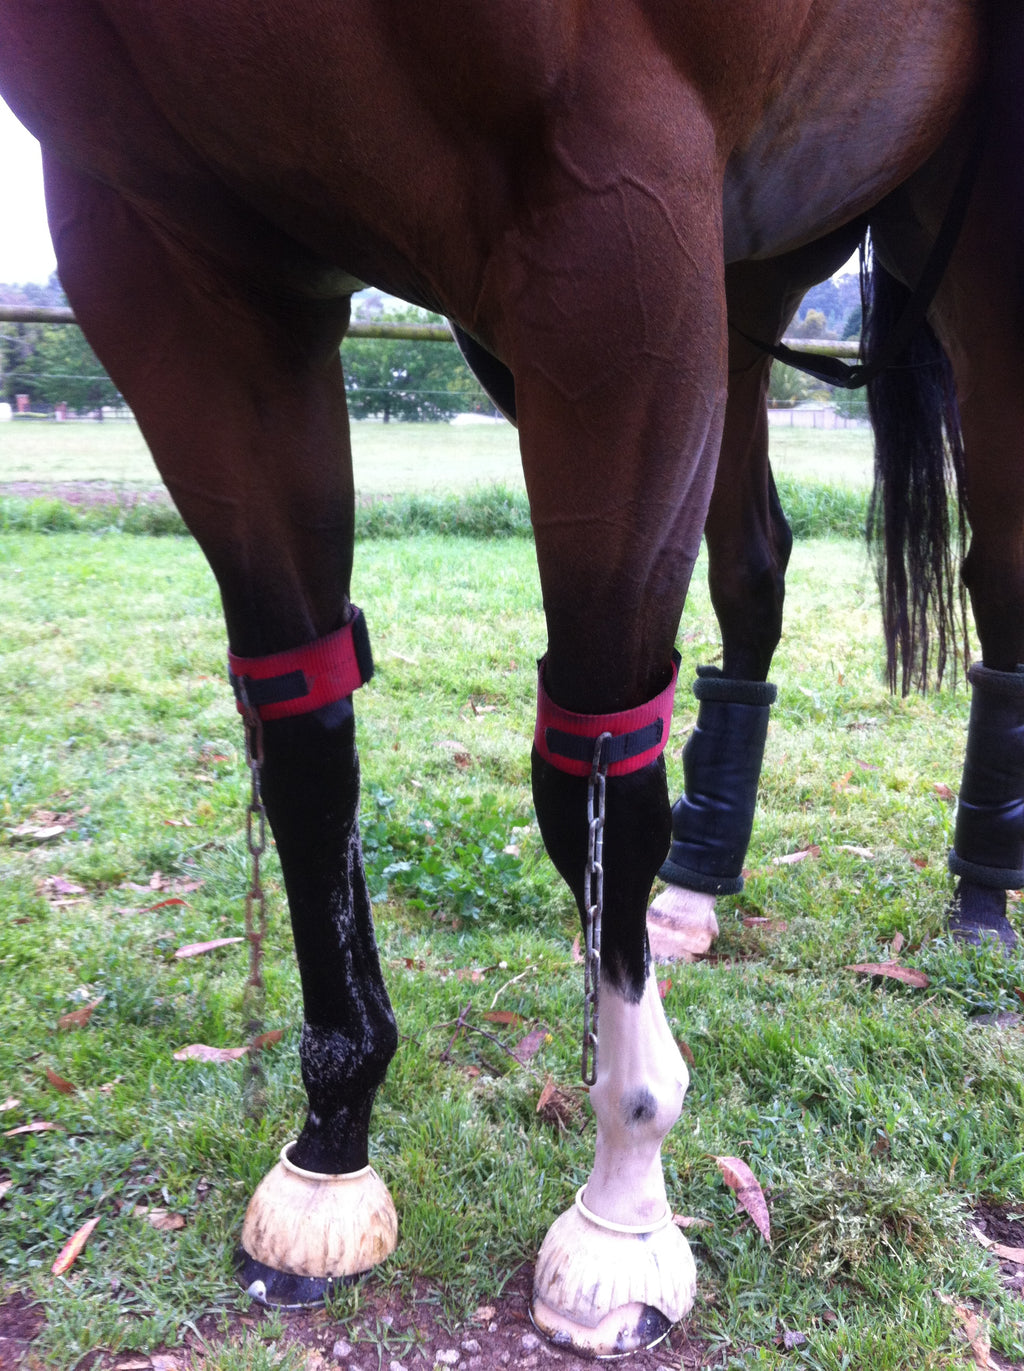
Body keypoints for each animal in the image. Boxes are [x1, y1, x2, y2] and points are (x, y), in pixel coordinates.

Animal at [2, 0, 1022, 1355]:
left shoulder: (611, 240)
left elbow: (596, 773)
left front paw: (623, 1210)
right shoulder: (172, 264)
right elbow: (307, 740)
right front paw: (328, 1154)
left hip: (961, 262)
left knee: (995, 574)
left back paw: (982, 897)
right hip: (740, 280)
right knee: (754, 572)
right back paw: (702, 881)